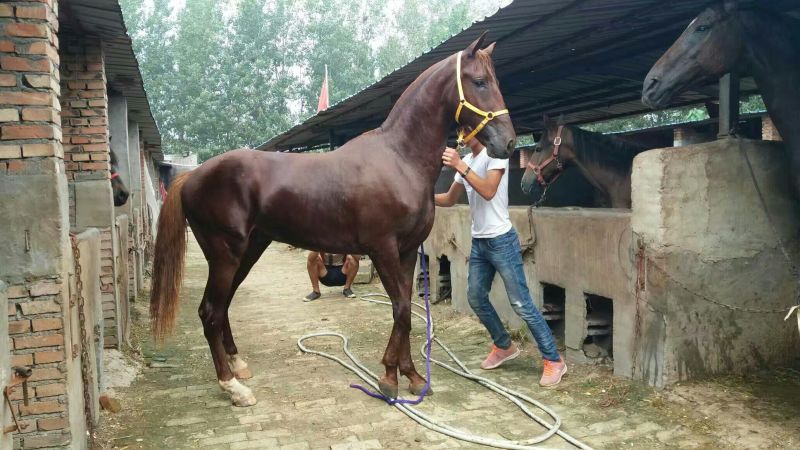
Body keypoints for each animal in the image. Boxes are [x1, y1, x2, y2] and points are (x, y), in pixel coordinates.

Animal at [148, 33, 516, 406]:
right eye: (479, 82)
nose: (509, 143)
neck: (399, 158)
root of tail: (191, 177)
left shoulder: (408, 252)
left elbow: (405, 310)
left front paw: (411, 376)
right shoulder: (383, 249)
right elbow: (399, 308)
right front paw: (389, 378)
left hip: (248, 250)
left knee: (222, 307)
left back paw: (239, 366)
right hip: (226, 255)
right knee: (209, 311)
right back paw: (233, 387)